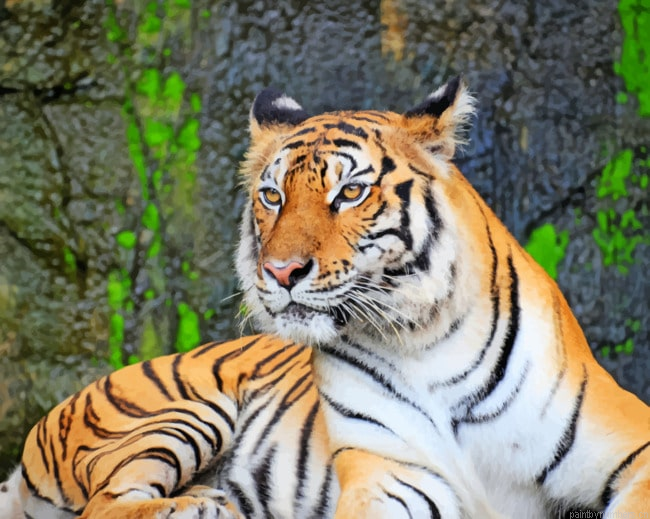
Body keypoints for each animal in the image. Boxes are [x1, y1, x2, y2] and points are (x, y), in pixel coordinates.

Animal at [234, 77, 650, 518]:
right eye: (273, 197)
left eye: (350, 192)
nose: (281, 271)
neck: (420, 341)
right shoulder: (392, 471)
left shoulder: (632, 443)